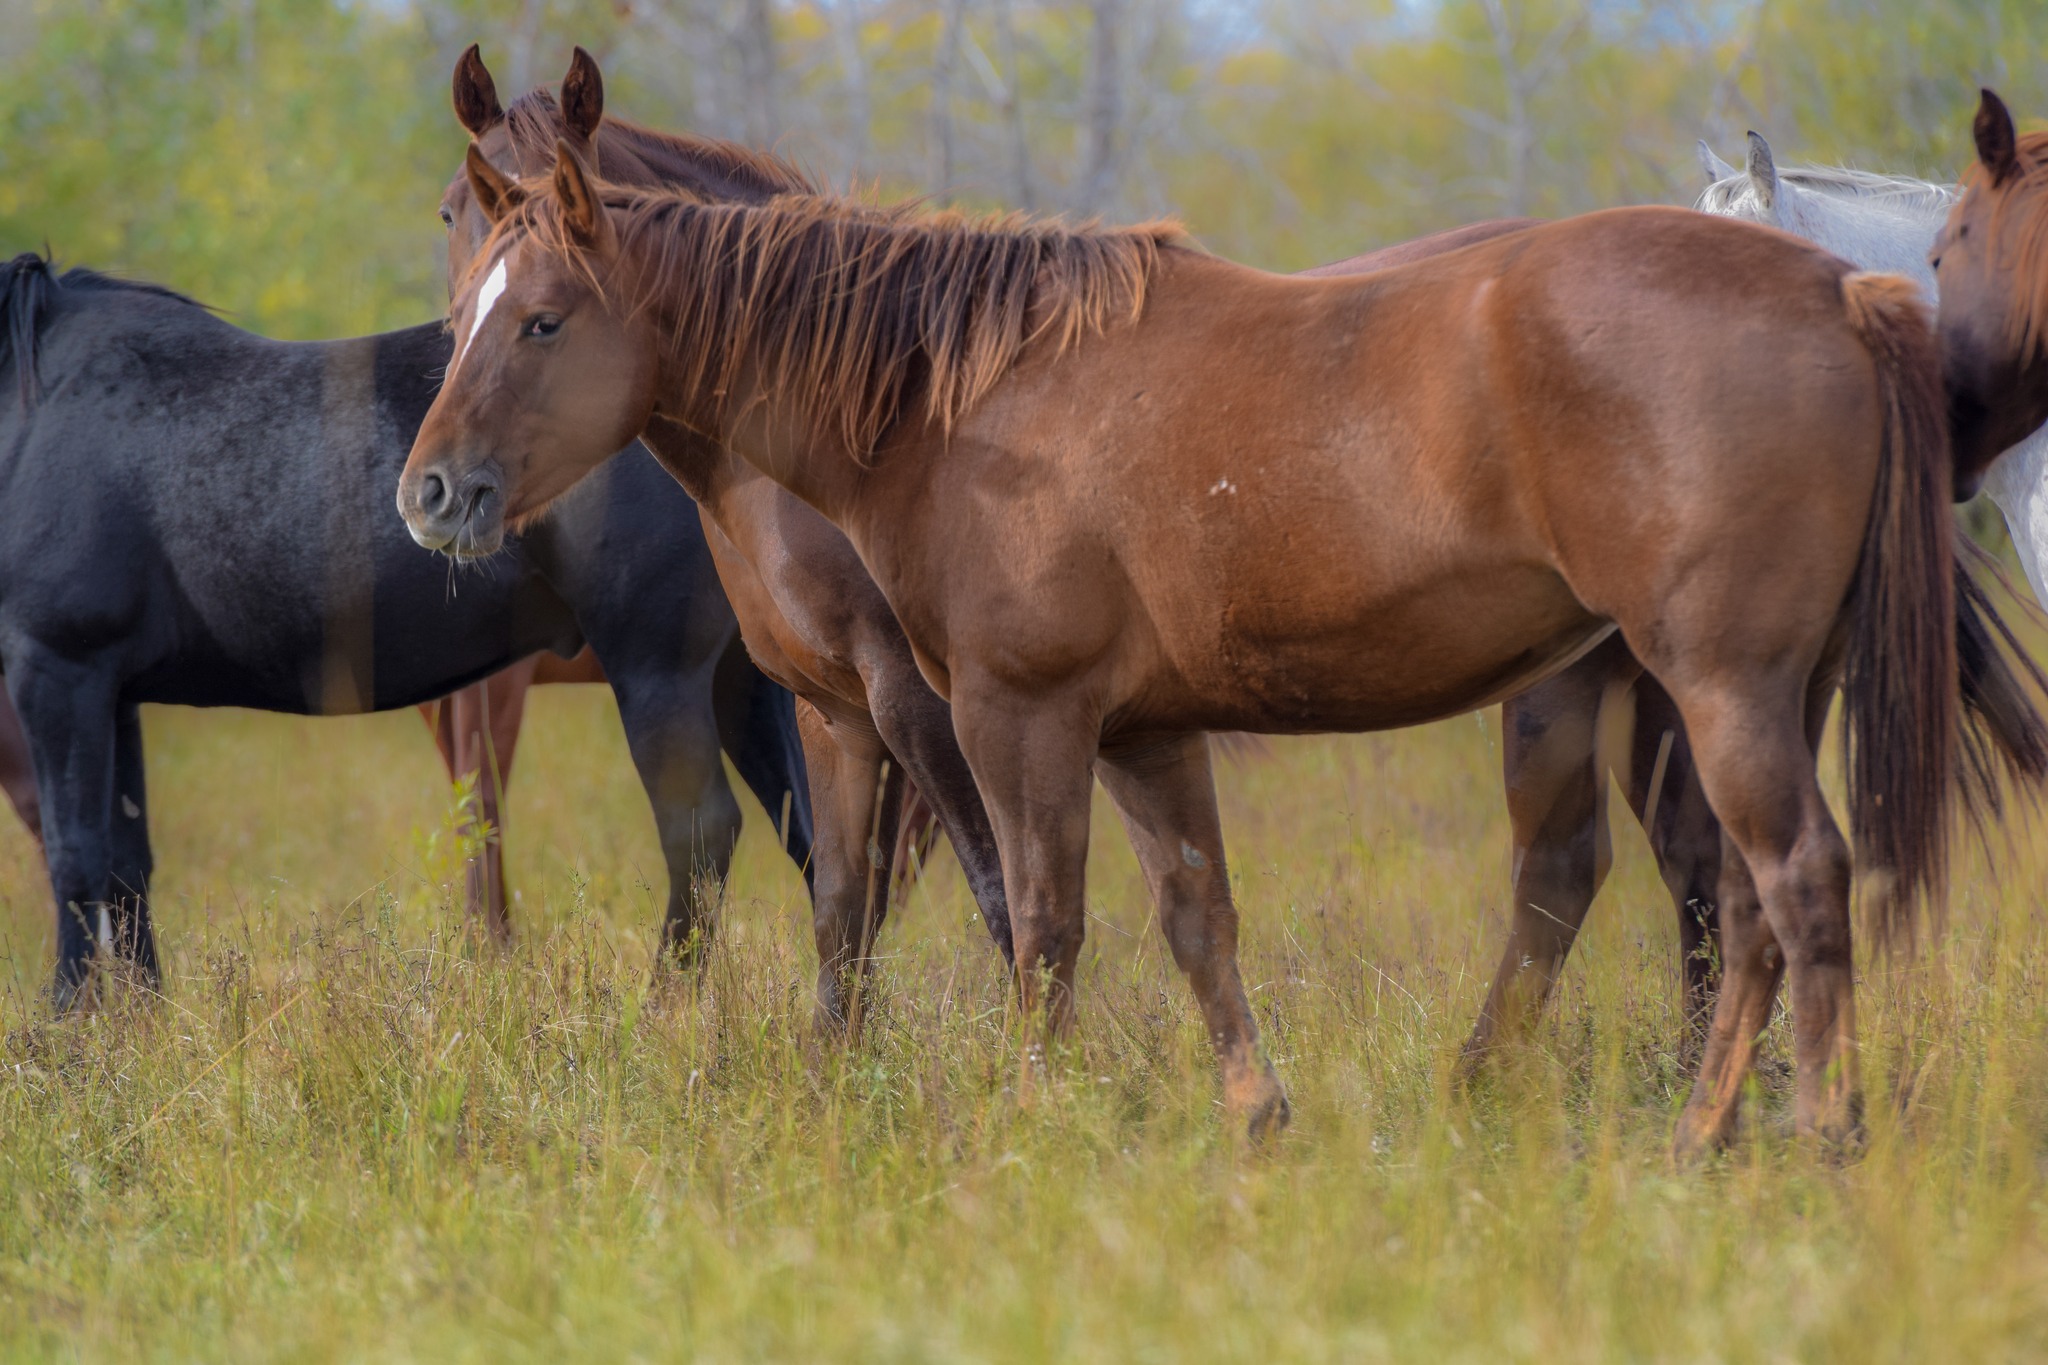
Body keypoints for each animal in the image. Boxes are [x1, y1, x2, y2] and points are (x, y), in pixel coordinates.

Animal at [0, 252, 814, 1008]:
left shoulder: (59, 670)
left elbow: (75, 857)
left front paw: (72, 1030)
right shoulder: (113, 693)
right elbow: (125, 865)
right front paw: (143, 1024)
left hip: (659, 669)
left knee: (701, 831)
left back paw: (663, 1008)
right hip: (740, 676)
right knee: (809, 827)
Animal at [399, 149, 2017, 1157]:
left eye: (541, 320)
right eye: (462, 305)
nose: (431, 495)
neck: (963, 401)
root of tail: (1836, 289)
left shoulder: (1016, 720)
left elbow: (1040, 924)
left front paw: (1028, 1117)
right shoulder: (1143, 734)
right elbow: (1196, 922)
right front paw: (1253, 1118)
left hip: (1721, 689)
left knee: (1792, 881)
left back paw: (1807, 1134)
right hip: (1747, 692)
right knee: (1730, 899)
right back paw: (1684, 1127)